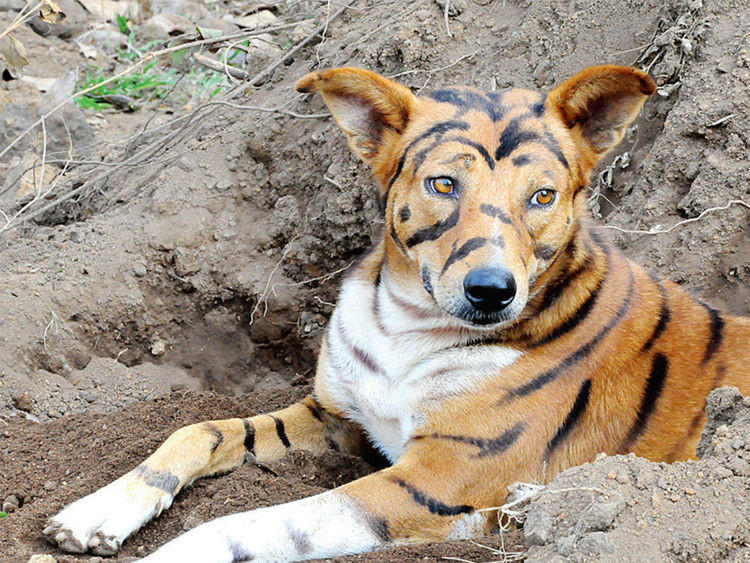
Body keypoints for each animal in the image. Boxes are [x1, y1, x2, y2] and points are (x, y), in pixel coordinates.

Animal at [42, 65, 750, 560]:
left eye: (543, 196)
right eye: (444, 184)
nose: (491, 291)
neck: (407, 327)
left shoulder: (434, 480)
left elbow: (260, 521)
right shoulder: (338, 415)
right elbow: (202, 430)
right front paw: (103, 508)